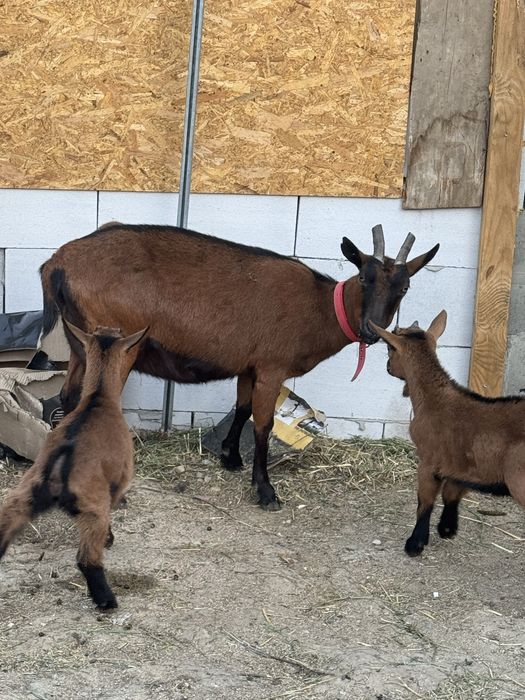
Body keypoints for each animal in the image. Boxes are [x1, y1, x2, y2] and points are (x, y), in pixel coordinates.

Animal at [0, 322, 148, 609]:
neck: (99, 397)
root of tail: (59, 463)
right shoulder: (119, 481)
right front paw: (110, 539)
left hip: (21, 499)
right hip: (93, 509)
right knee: (87, 560)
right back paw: (106, 600)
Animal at [40, 223, 438, 510]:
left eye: (403, 288)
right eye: (364, 278)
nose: (372, 331)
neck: (318, 307)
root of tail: (57, 263)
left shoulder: (250, 367)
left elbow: (242, 408)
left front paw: (230, 458)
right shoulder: (272, 367)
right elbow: (263, 425)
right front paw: (265, 490)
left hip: (81, 346)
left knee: (68, 397)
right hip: (115, 345)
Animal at [371, 311, 525, 557]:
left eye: (389, 348)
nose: (387, 367)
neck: (435, 399)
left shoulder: (428, 460)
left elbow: (425, 501)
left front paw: (415, 544)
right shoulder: (461, 464)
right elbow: (451, 493)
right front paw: (447, 529)